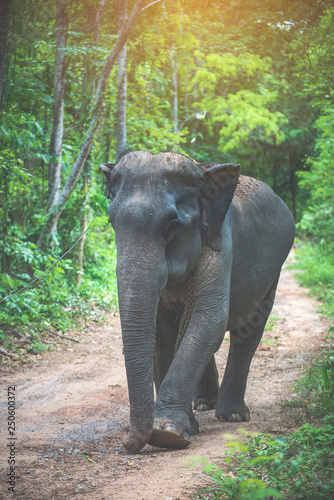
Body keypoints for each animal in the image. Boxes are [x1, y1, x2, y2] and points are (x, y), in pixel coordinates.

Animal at [100, 149, 294, 454]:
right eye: (111, 222)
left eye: (173, 225)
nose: (125, 438)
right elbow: (163, 331)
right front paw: (182, 428)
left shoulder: (220, 244)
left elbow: (209, 319)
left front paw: (166, 432)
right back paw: (204, 404)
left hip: (274, 272)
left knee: (248, 330)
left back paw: (233, 415)